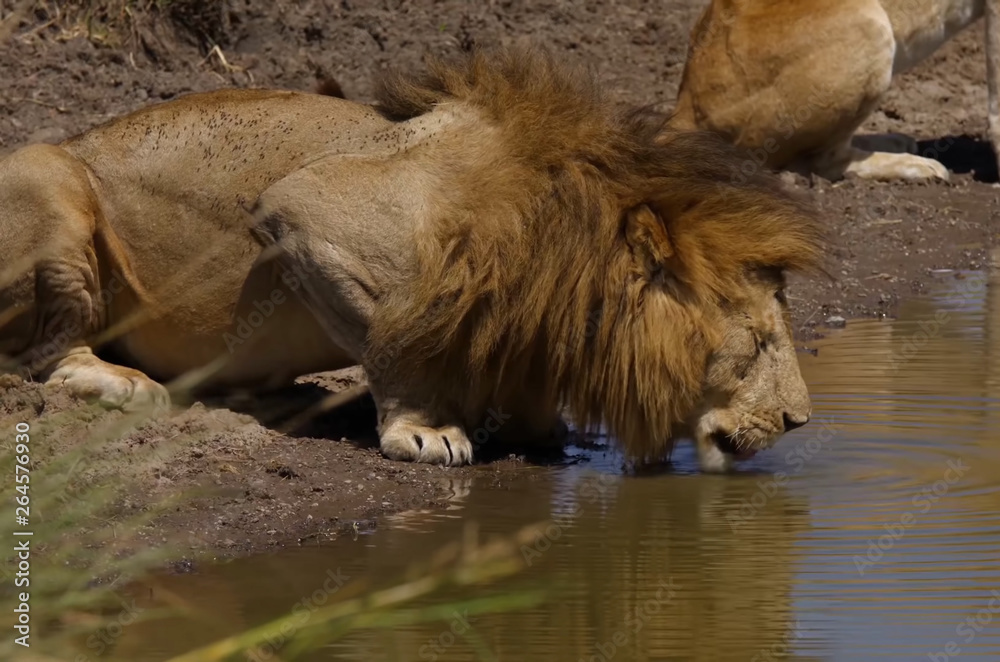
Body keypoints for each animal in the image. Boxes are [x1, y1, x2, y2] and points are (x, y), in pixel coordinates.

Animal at [0, 45, 823, 472]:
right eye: (757, 343)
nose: (799, 422)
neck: (559, 247)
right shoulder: (304, 212)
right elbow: (403, 343)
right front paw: (427, 431)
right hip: (47, 175)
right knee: (44, 353)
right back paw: (122, 381)